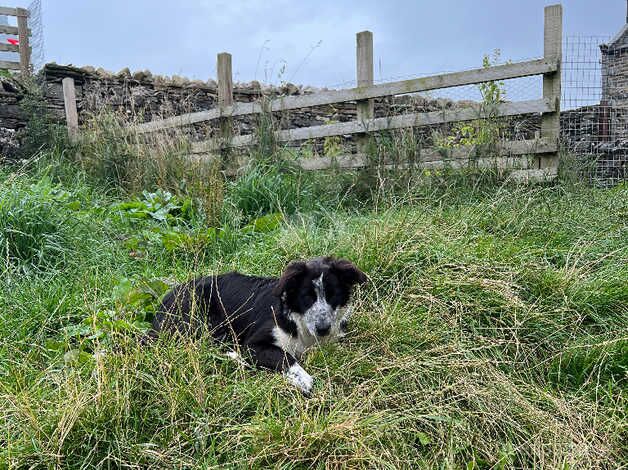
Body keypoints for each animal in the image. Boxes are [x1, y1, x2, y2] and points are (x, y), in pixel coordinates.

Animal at [151, 258, 368, 392]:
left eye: (333, 295)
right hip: (196, 318)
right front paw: (304, 379)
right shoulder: (254, 344)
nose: (323, 329)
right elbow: (285, 356)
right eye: (307, 297)